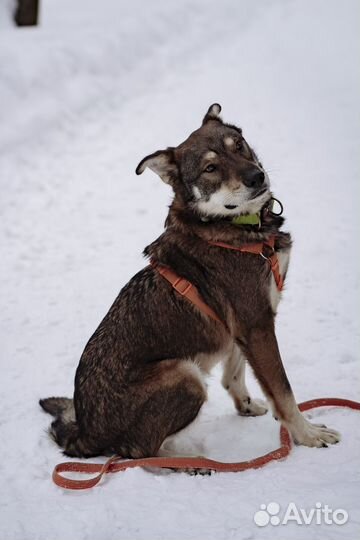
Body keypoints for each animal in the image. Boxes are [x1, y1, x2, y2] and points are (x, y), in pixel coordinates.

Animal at [40, 104, 340, 460]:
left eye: (238, 146)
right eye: (211, 168)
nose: (256, 176)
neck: (233, 227)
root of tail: (85, 433)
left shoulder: (243, 327)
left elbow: (234, 373)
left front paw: (246, 406)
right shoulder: (257, 325)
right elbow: (283, 392)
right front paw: (308, 434)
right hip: (185, 374)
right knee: (139, 450)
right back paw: (190, 460)